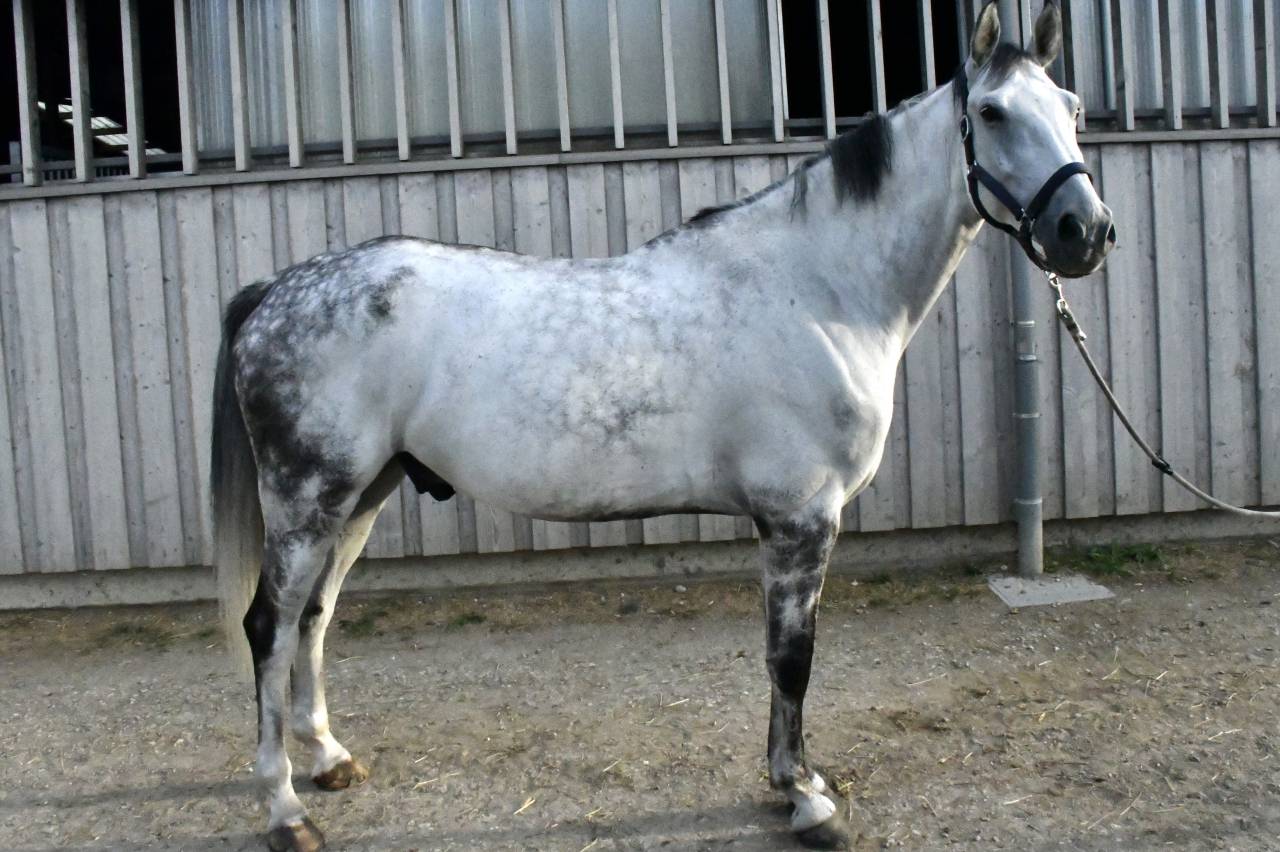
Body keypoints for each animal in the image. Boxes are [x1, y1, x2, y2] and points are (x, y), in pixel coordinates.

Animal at [211, 3, 1113, 849]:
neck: (819, 289)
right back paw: (284, 807)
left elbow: (785, 660)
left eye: (1071, 106)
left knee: (313, 618)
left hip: (362, 493)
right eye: (992, 112)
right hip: (308, 498)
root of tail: (274, 291)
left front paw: (795, 781)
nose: (1085, 231)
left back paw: (328, 760)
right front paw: (805, 796)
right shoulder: (800, 519)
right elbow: (792, 659)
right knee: (269, 626)